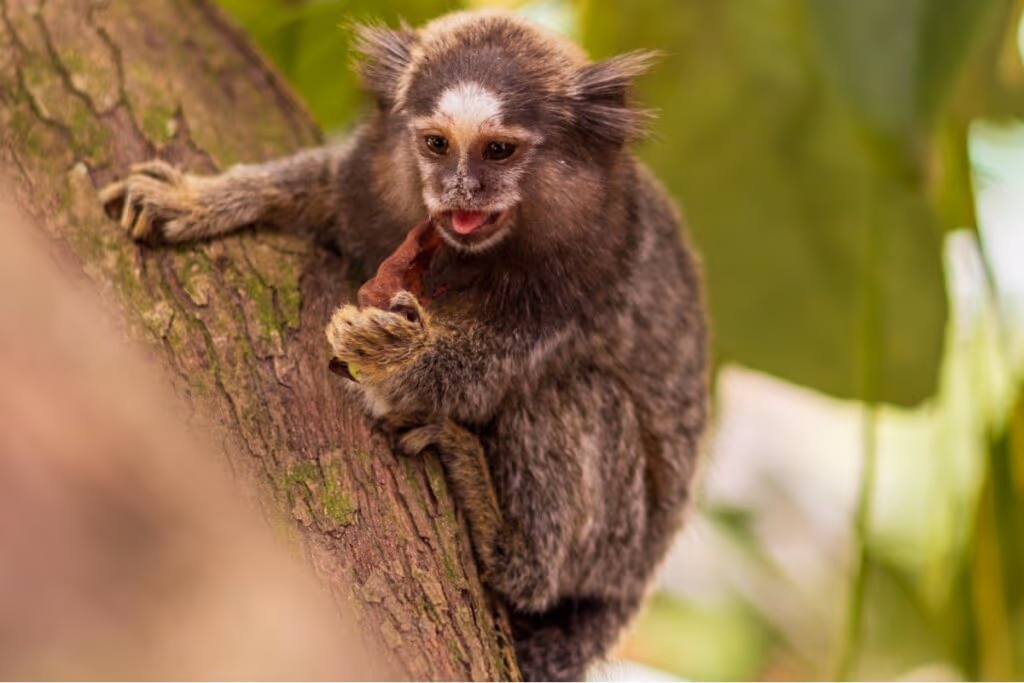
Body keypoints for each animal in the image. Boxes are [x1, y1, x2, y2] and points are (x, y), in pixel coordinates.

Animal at [99, 10, 709, 681]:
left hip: (612, 543)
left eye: (498, 150)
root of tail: (628, 585)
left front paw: (391, 353)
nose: (460, 188)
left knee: (574, 397)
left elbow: (472, 375)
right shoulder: (366, 185)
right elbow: (316, 186)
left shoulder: (588, 276)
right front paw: (199, 199)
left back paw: (500, 534)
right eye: (437, 144)